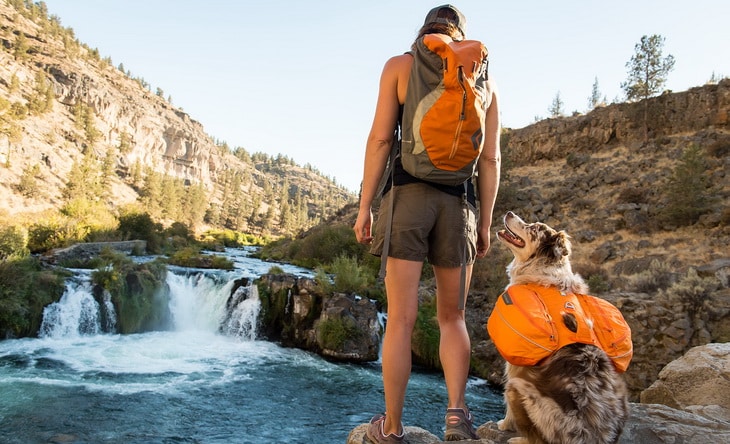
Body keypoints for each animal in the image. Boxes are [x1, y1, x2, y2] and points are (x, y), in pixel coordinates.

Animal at [492, 212, 628, 444]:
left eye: (533, 228)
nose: (509, 213)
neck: (542, 270)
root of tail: (589, 436)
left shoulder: (516, 363)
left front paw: (504, 425)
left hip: (520, 390)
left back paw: (518, 439)